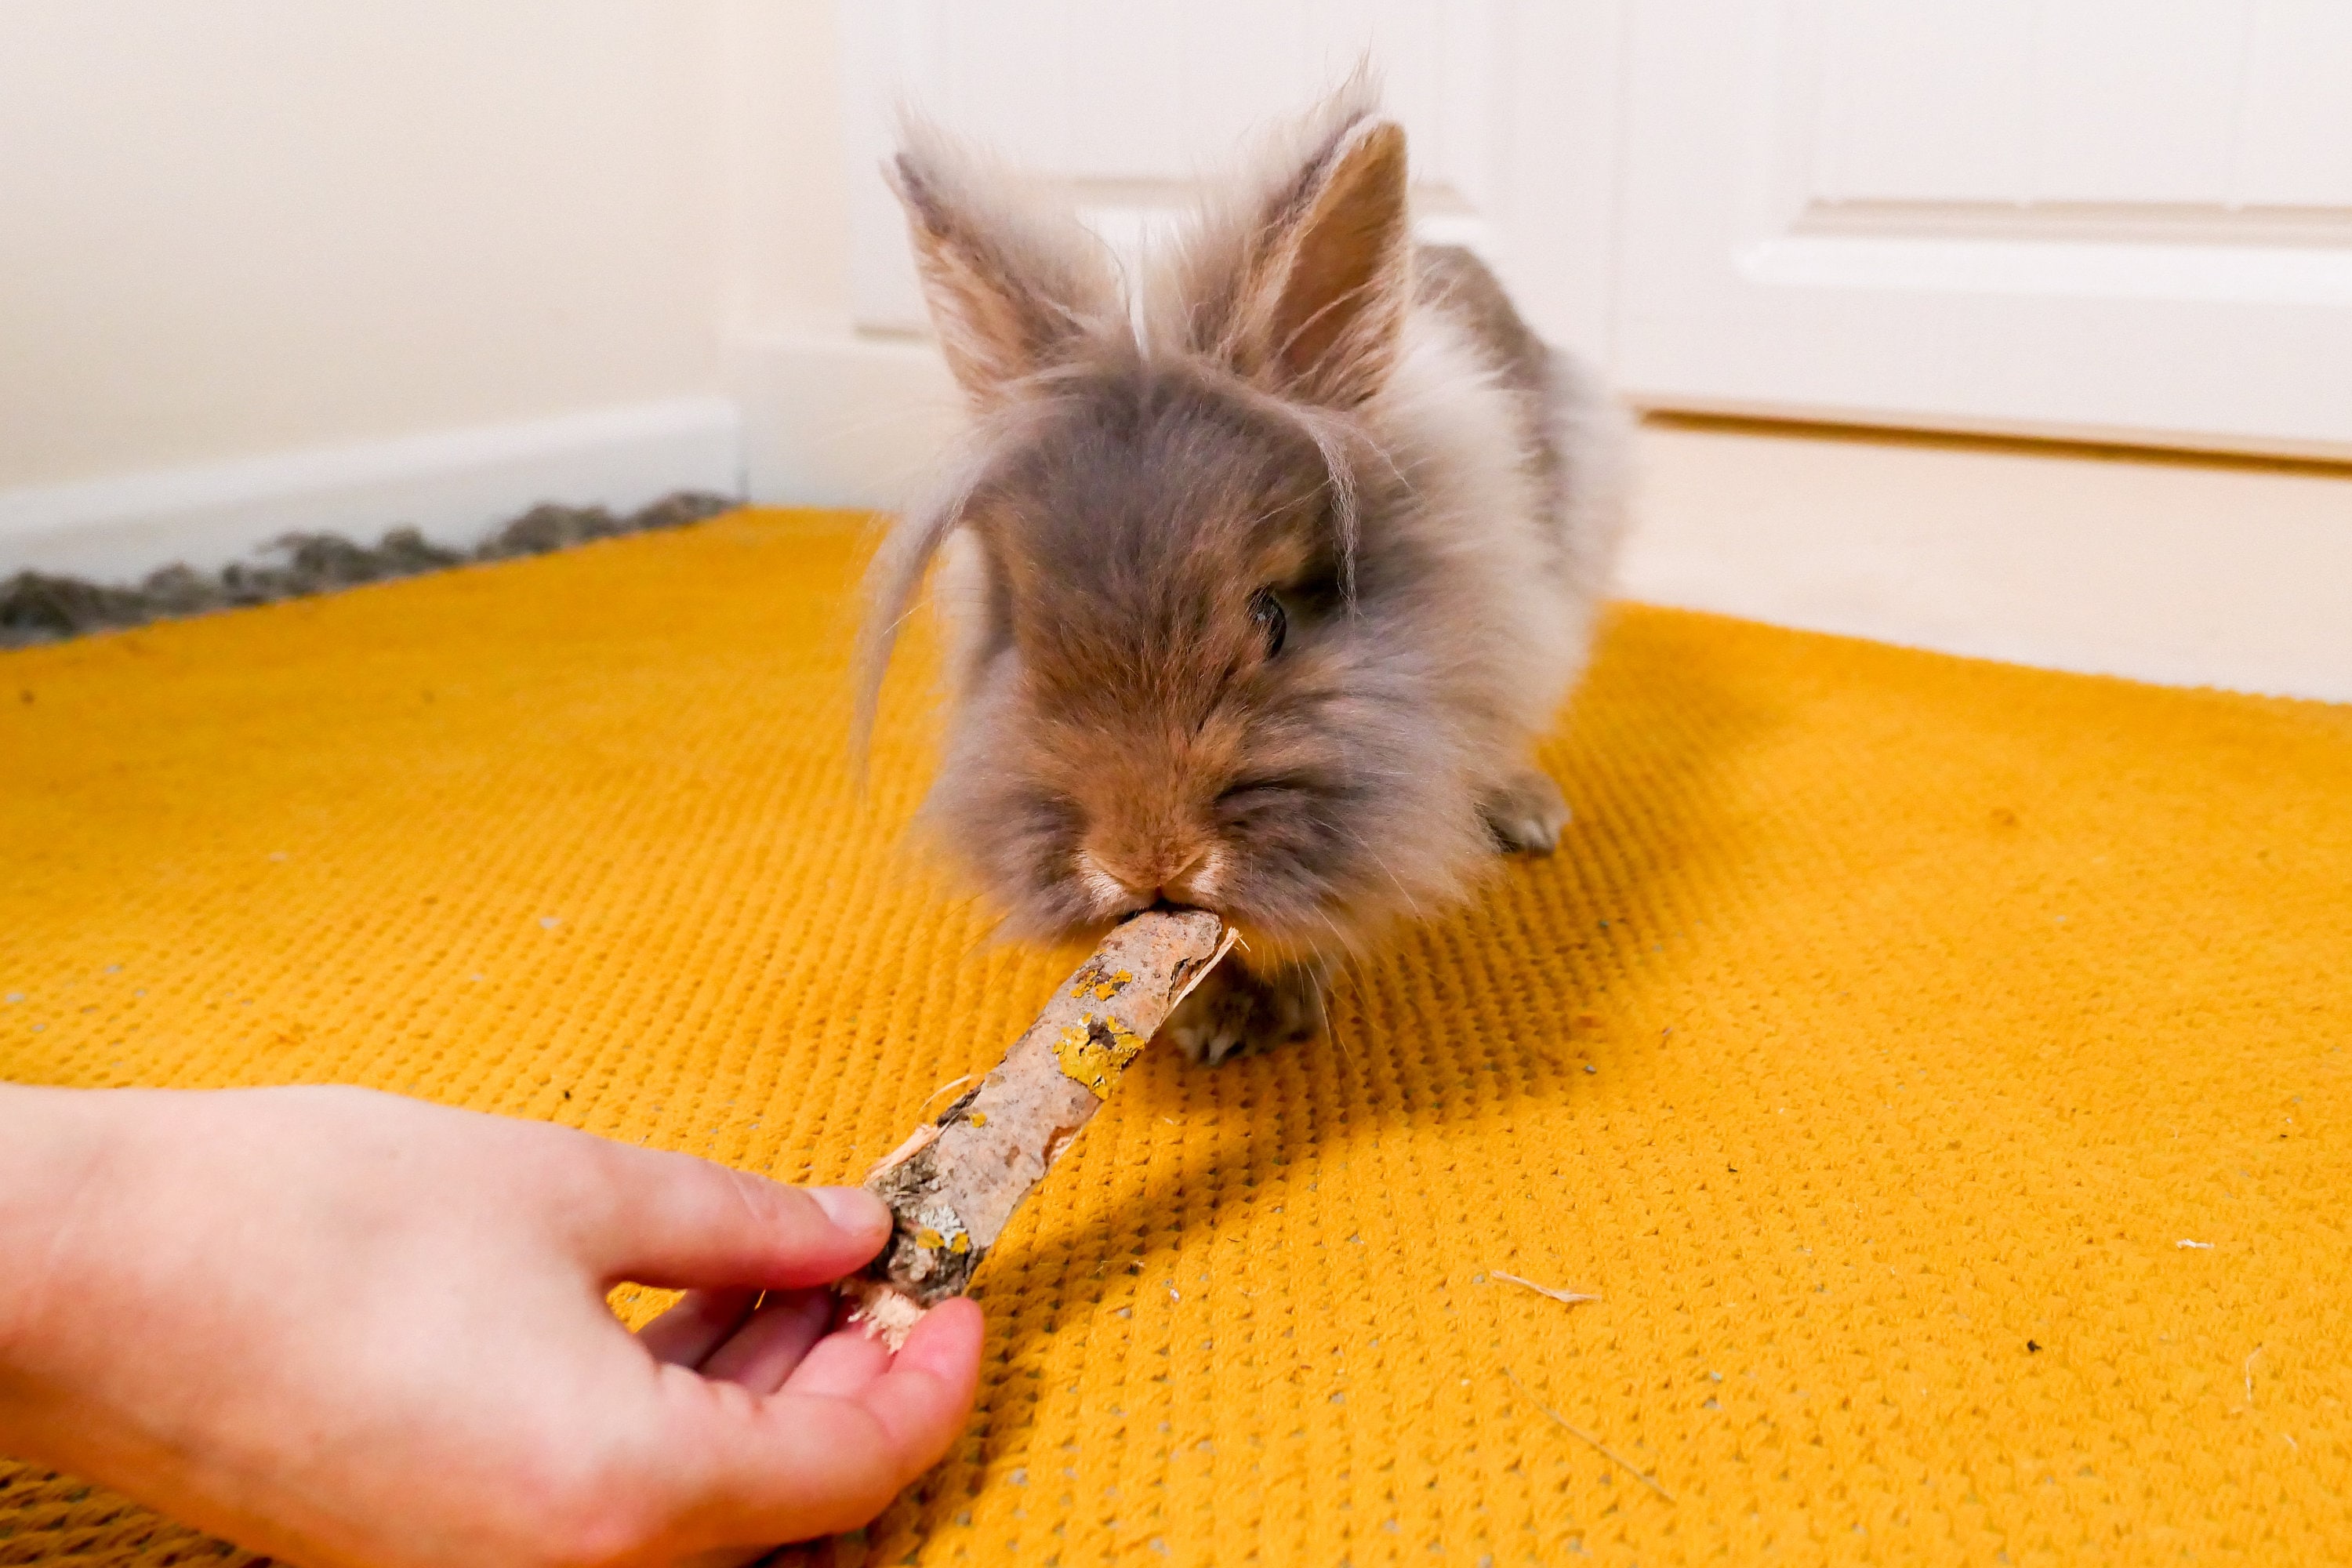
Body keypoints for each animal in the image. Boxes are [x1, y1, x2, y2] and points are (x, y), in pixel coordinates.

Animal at [858, 74, 1627, 1065]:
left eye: (1273, 618)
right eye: (1024, 639)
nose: (1150, 860)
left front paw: (1282, 1004)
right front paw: (1204, 1021)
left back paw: (1529, 812)